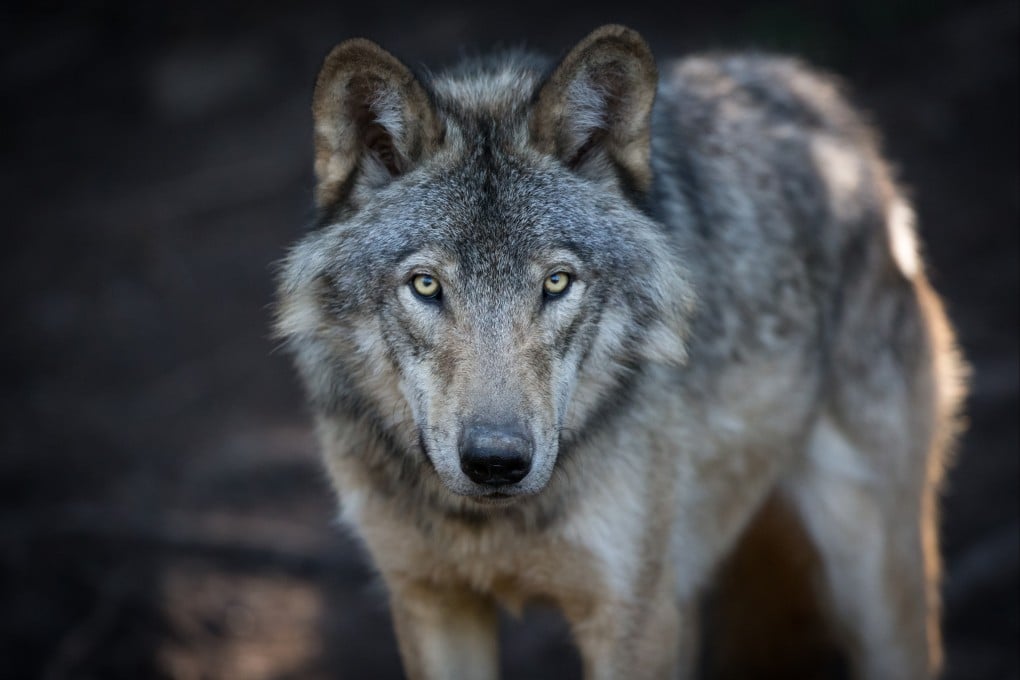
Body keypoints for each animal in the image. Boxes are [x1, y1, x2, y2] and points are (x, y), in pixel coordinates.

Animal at [274, 25, 966, 679]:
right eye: (425, 286)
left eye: (557, 282)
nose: (496, 462)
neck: (491, 525)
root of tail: (813, 92)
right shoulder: (431, 602)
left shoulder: (632, 617)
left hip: (871, 582)